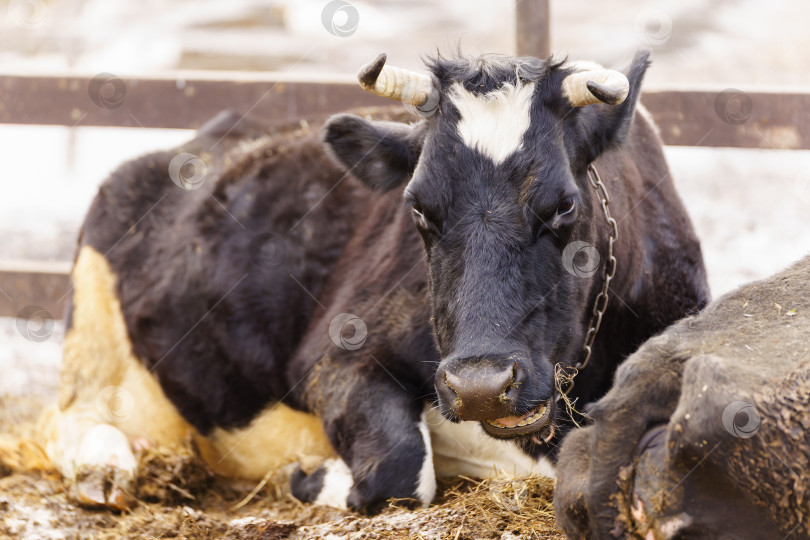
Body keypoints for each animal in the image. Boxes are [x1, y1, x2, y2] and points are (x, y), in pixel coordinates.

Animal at [41, 48, 708, 512]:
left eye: (565, 204)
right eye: (418, 208)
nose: (480, 386)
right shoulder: (333, 358)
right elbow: (399, 468)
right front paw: (314, 478)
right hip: (95, 319)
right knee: (75, 412)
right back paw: (103, 469)